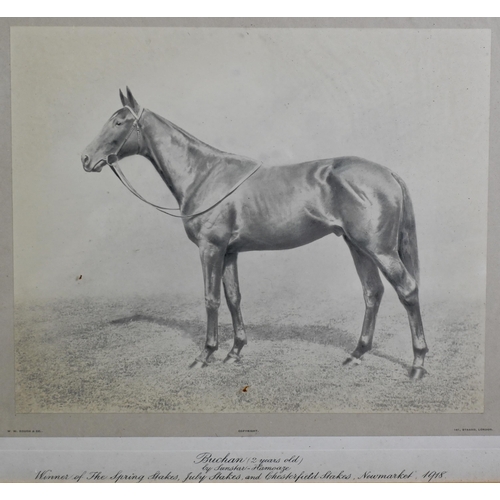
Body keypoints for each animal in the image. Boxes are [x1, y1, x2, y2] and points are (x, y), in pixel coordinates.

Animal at [80, 89, 428, 378]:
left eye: (119, 121)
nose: (86, 158)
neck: (204, 174)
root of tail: (387, 173)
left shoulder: (210, 249)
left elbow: (211, 299)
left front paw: (205, 354)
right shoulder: (229, 252)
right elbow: (233, 297)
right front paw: (235, 351)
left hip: (380, 250)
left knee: (407, 290)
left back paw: (418, 364)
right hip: (358, 247)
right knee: (372, 292)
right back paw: (357, 353)